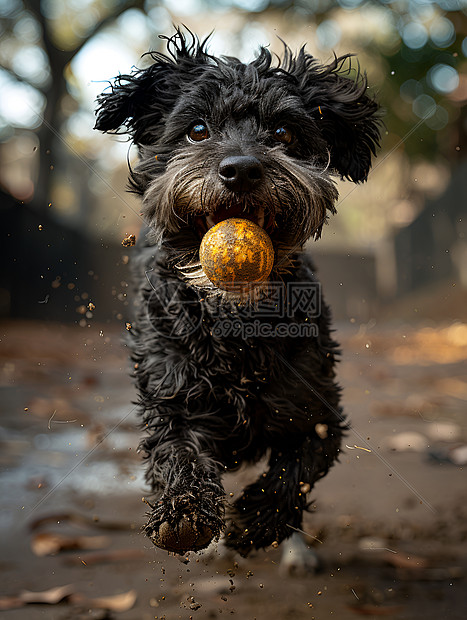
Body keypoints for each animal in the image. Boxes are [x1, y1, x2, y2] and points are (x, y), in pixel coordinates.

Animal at [94, 30, 380, 556]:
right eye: (198, 129)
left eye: (284, 133)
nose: (241, 169)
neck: (234, 320)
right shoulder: (171, 390)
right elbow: (175, 445)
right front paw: (184, 510)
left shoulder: (316, 410)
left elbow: (297, 469)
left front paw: (256, 522)